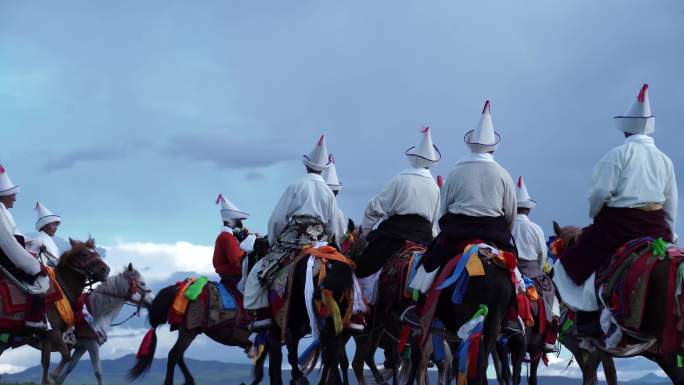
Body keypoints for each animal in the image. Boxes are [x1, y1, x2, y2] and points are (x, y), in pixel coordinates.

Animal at [0, 237, 109, 384]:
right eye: (84, 254)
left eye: (96, 253)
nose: (106, 270)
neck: (62, 289)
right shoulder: (54, 332)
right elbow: (66, 356)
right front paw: (53, 376)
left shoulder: (47, 338)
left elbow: (45, 363)